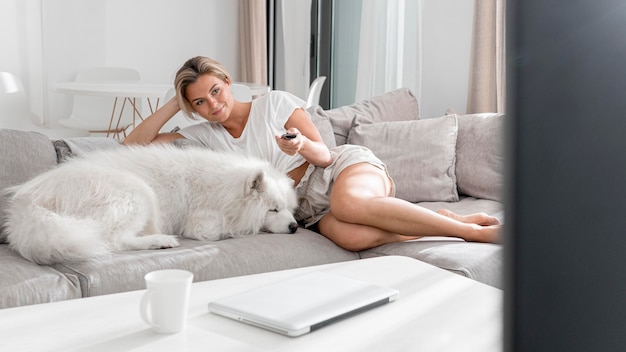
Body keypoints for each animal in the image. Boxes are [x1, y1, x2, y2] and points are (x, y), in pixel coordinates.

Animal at [3, 144, 298, 264]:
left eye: (288, 208)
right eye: (272, 209)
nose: (295, 227)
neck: (223, 189)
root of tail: (31, 201)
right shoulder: (199, 219)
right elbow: (210, 230)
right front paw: (234, 231)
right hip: (137, 193)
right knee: (114, 241)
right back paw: (161, 240)